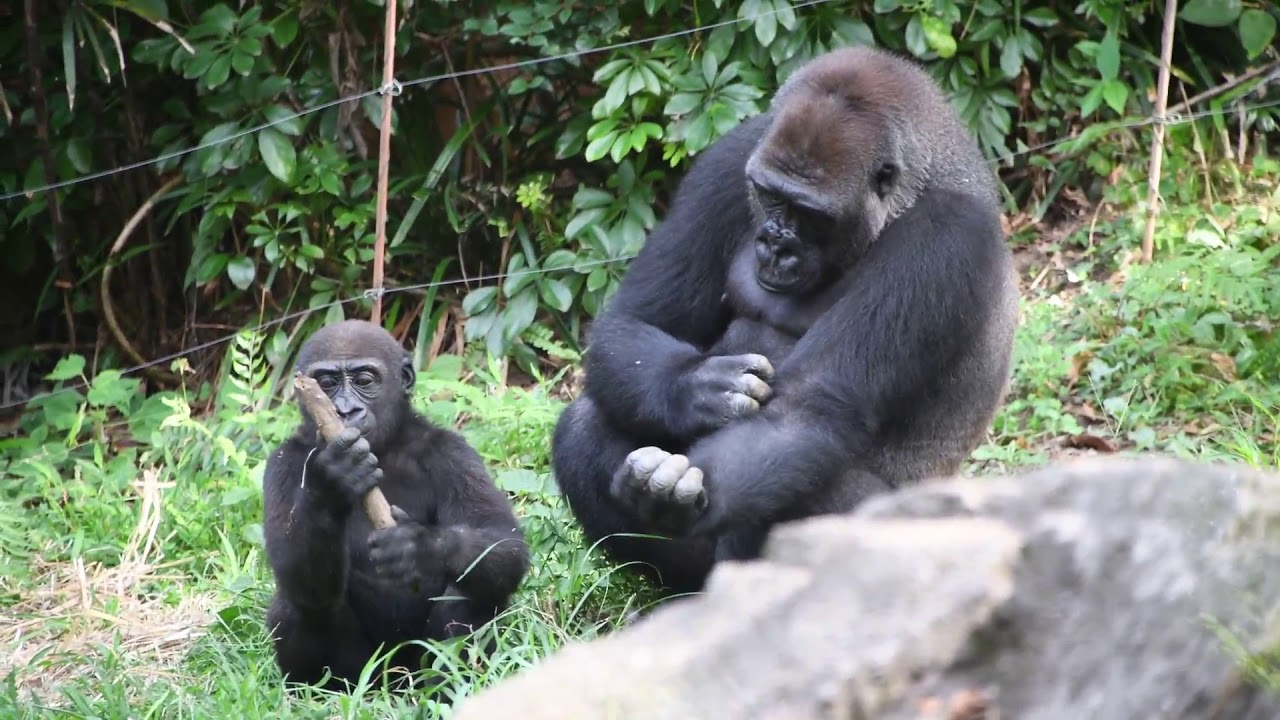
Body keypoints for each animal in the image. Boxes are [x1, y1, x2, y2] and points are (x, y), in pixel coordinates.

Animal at [264, 319, 529, 691]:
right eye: (327, 384)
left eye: (364, 380)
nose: (345, 411)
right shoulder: (283, 461)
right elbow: (290, 566)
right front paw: (332, 482)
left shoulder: (452, 452)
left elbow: (502, 539)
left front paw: (422, 548)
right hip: (368, 675)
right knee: (301, 604)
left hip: (417, 669)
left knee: (471, 590)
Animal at [550, 46, 1018, 594]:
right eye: (770, 195)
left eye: (811, 213)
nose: (775, 243)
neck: (910, 192)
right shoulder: (733, 157)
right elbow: (637, 321)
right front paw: (698, 390)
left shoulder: (945, 235)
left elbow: (803, 414)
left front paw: (676, 502)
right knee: (586, 422)